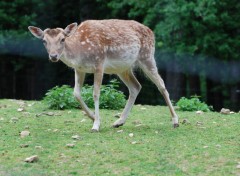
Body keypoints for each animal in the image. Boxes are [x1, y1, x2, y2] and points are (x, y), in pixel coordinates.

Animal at [27, 19, 178, 132]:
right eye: (44, 41)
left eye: (63, 39)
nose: (53, 56)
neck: (79, 51)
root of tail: (151, 32)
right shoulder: (79, 69)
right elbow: (76, 93)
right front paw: (93, 117)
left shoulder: (99, 64)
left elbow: (95, 94)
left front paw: (96, 125)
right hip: (123, 68)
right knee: (136, 86)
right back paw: (119, 121)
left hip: (147, 56)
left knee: (161, 85)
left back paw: (175, 121)